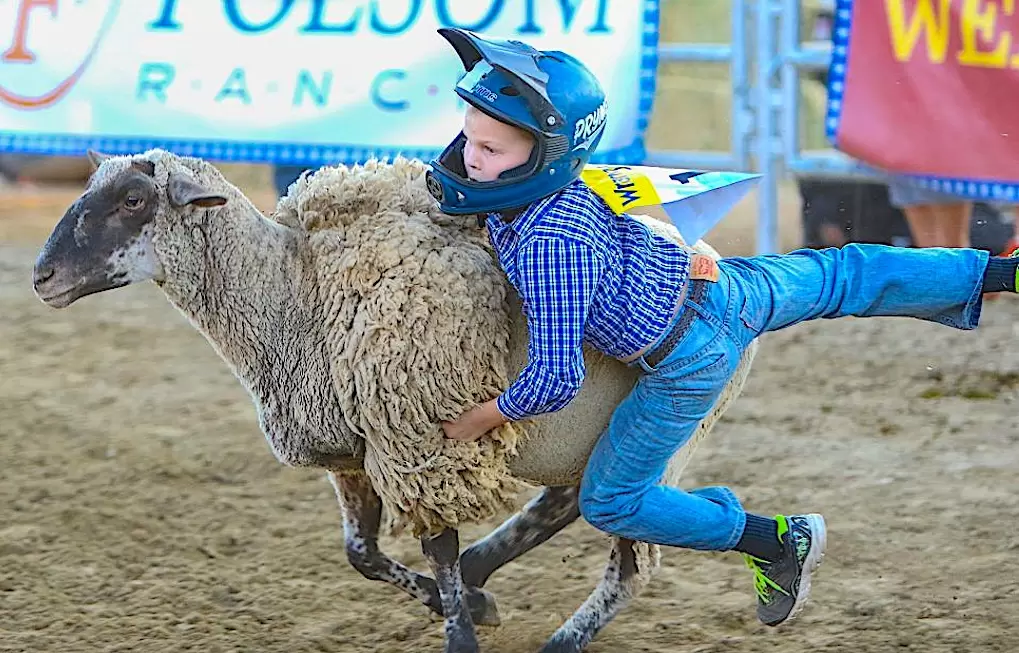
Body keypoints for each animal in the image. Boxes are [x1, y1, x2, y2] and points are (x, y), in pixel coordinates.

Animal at [31, 147, 758, 651]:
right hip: (584, 437)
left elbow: (436, 549)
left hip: (670, 426)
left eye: (132, 199)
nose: (42, 276)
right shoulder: (350, 454)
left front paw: (461, 625)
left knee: (628, 558)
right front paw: (467, 603)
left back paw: (560, 636)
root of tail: (722, 268)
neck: (293, 296)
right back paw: (488, 567)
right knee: (566, 503)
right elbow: (363, 553)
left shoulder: (422, 441)